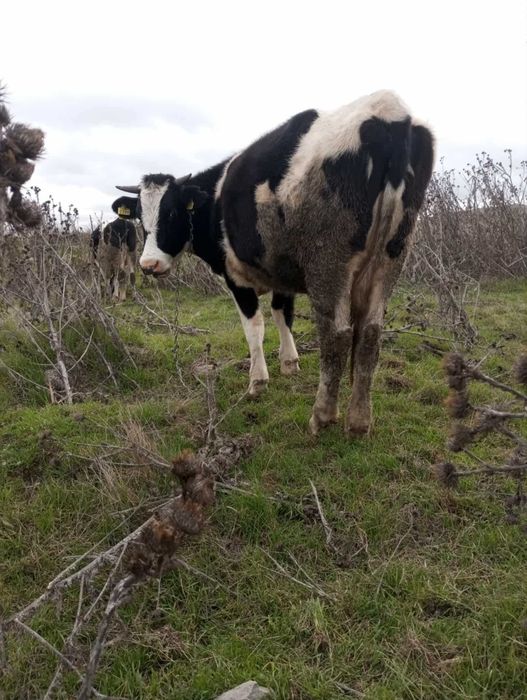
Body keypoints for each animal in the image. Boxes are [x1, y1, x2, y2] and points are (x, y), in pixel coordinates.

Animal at [113, 90, 434, 435]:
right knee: (371, 333)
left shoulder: (236, 278)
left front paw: (257, 381)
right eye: (140, 217)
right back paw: (359, 420)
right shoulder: (282, 272)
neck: (214, 199)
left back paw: (322, 415)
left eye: (172, 213)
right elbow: (283, 315)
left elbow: (255, 327)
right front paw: (290, 363)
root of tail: (388, 111)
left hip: (329, 265)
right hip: (389, 260)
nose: (149, 264)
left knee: (337, 334)